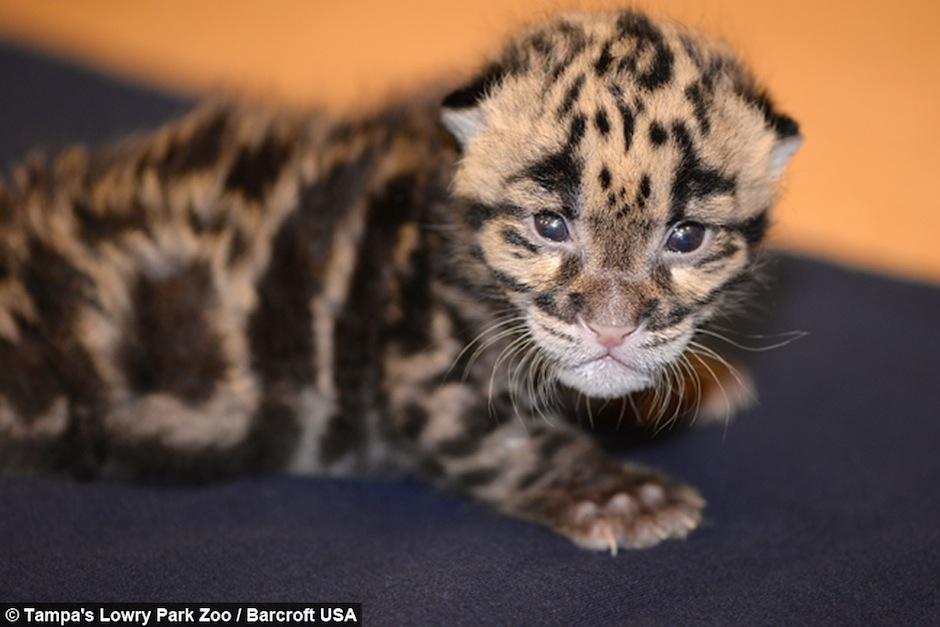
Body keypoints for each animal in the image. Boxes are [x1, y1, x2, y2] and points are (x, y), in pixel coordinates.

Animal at [0, 9, 801, 552]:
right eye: (549, 226)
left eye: (685, 237)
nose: (611, 325)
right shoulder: (412, 375)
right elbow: (510, 439)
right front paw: (621, 494)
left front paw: (689, 385)